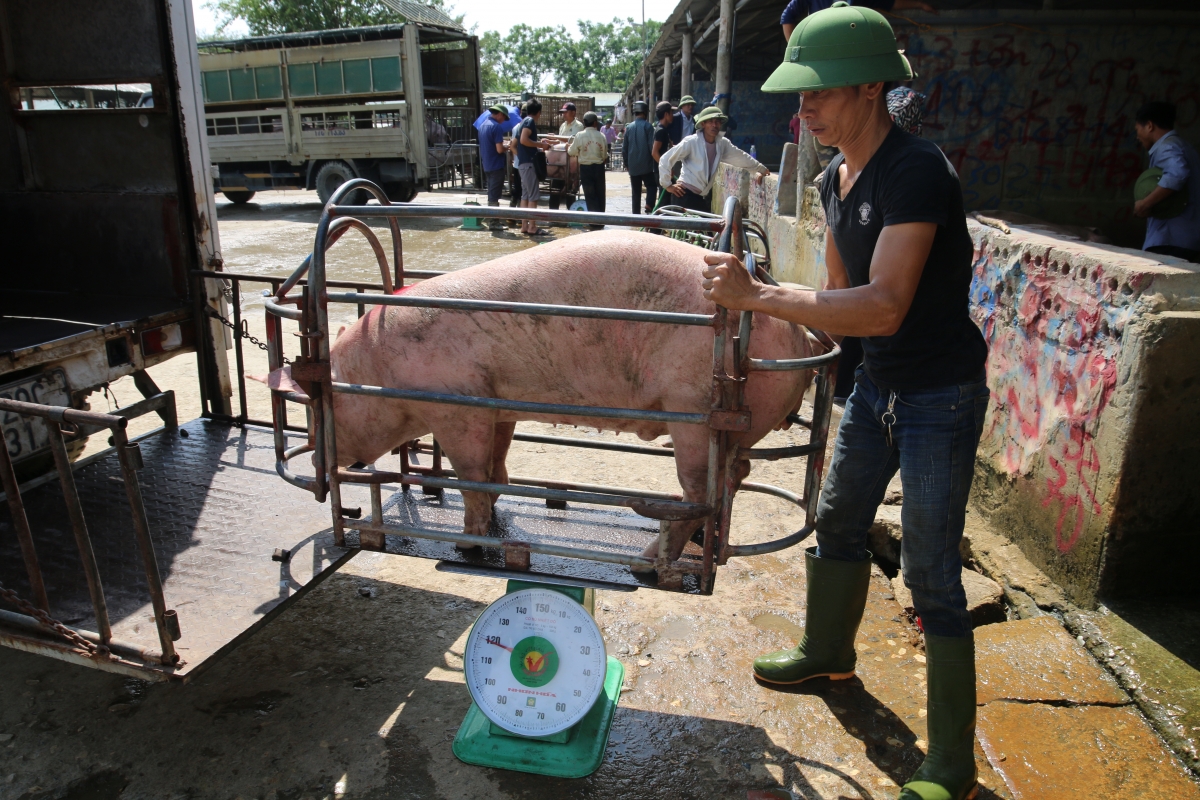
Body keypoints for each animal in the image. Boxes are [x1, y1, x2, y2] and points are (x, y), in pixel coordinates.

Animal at [272, 231, 816, 566]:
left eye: (321, 406)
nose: (318, 464)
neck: (377, 373)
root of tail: (798, 335)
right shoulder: (497, 403)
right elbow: (495, 469)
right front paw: (496, 518)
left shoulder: (456, 404)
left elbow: (470, 475)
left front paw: (468, 547)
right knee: (735, 474)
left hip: (694, 414)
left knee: (699, 493)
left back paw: (645, 564)